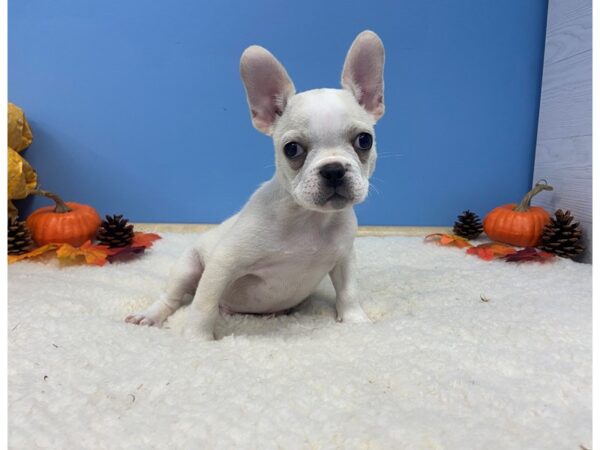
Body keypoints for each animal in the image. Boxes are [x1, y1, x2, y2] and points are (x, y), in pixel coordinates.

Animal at [126, 29, 386, 340]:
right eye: (292, 149)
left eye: (364, 140)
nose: (333, 170)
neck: (309, 219)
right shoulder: (223, 263)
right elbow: (204, 304)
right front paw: (196, 338)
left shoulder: (344, 258)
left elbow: (348, 292)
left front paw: (356, 322)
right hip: (188, 266)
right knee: (173, 297)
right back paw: (150, 315)